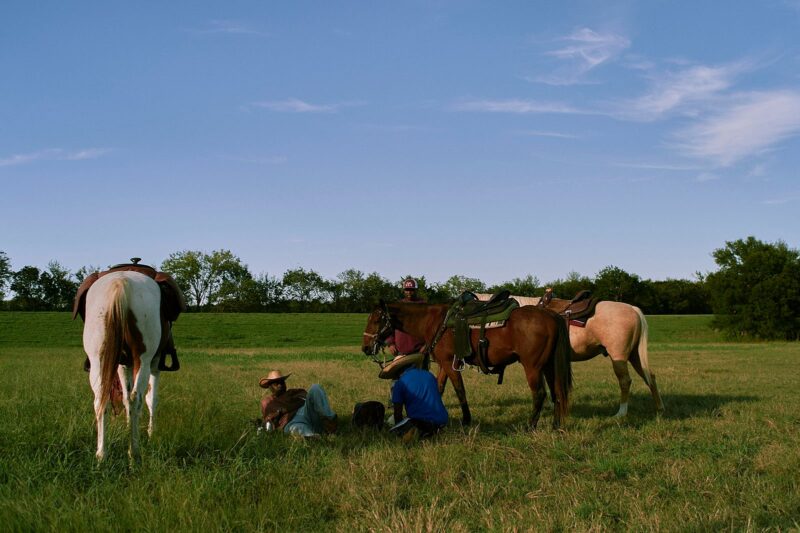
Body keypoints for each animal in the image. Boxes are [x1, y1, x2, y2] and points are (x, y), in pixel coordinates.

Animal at [83, 272, 164, 460]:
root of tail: (121, 281)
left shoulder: (122, 366)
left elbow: (125, 398)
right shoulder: (155, 366)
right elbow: (151, 399)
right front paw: (151, 433)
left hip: (98, 361)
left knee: (101, 400)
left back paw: (101, 453)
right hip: (143, 360)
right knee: (136, 399)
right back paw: (134, 452)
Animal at [362, 302, 576, 430]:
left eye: (376, 319)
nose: (365, 347)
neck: (435, 322)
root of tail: (550, 315)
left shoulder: (450, 364)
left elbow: (460, 391)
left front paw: (466, 420)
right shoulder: (443, 364)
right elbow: (439, 388)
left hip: (533, 367)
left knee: (539, 394)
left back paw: (530, 426)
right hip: (549, 366)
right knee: (557, 393)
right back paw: (556, 425)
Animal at [476, 296, 664, 416]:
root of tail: (633, 309)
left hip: (619, 356)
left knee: (625, 381)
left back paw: (621, 413)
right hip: (634, 355)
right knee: (650, 377)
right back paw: (659, 408)